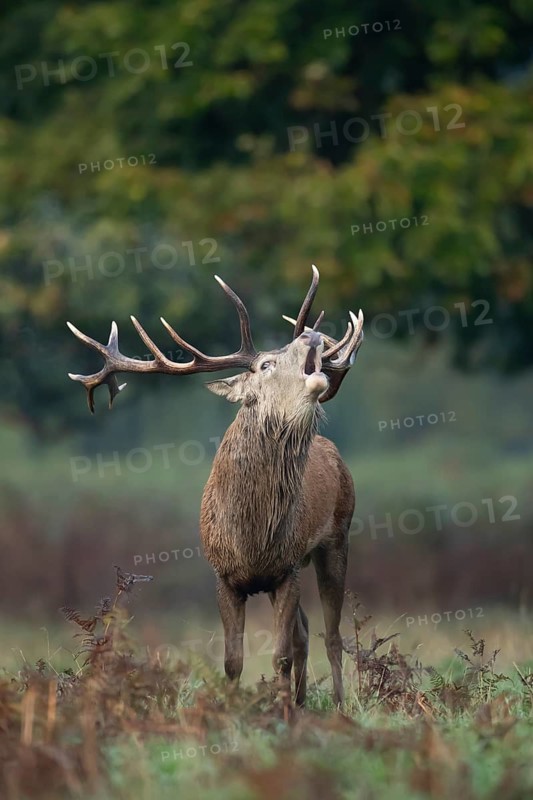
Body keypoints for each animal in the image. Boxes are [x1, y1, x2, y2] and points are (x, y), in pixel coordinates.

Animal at [67, 266, 364, 706]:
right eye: (266, 365)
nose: (311, 336)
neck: (252, 535)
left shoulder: (287, 568)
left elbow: (279, 656)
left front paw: (281, 714)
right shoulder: (224, 576)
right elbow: (233, 661)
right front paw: (236, 708)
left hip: (337, 537)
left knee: (330, 635)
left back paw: (339, 705)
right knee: (306, 631)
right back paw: (302, 699)